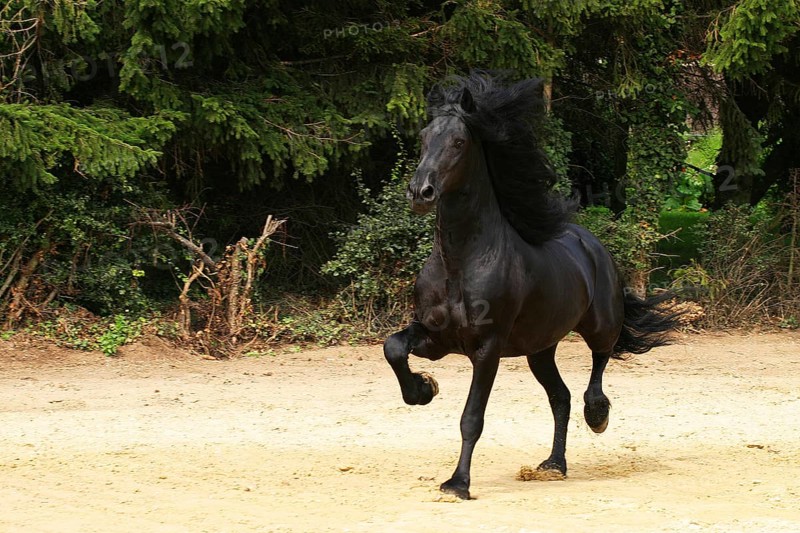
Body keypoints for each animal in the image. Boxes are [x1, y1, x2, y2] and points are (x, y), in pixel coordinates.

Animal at [383, 72, 680, 500]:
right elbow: (393, 348)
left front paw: (458, 484)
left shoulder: (487, 349)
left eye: (459, 142)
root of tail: (590, 243)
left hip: (599, 324)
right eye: (424, 137)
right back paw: (554, 465)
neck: (461, 262)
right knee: (561, 397)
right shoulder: (436, 338)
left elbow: (472, 418)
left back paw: (597, 414)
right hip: (539, 349)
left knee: (599, 362)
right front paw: (423, 389)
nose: (420, 191)